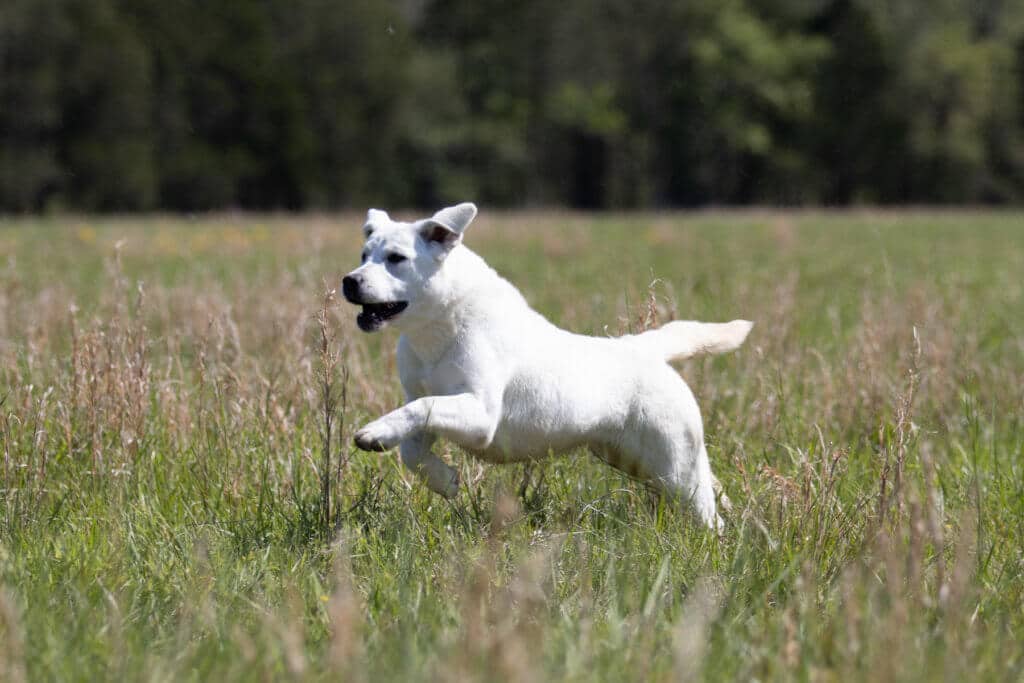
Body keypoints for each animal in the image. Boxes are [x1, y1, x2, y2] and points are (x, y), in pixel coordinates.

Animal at [344, 202, 753, 528]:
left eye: (396, 258)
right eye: (364, 255)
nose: (349, 280)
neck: (438, 329)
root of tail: (644, 350)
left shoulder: (480, 414)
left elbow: (421, 409)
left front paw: (374, 432)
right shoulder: (424, 401)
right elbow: (411, 447)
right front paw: (443, 479)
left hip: (675, 466)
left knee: (709, 516)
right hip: (643, 462)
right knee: (710, 488)